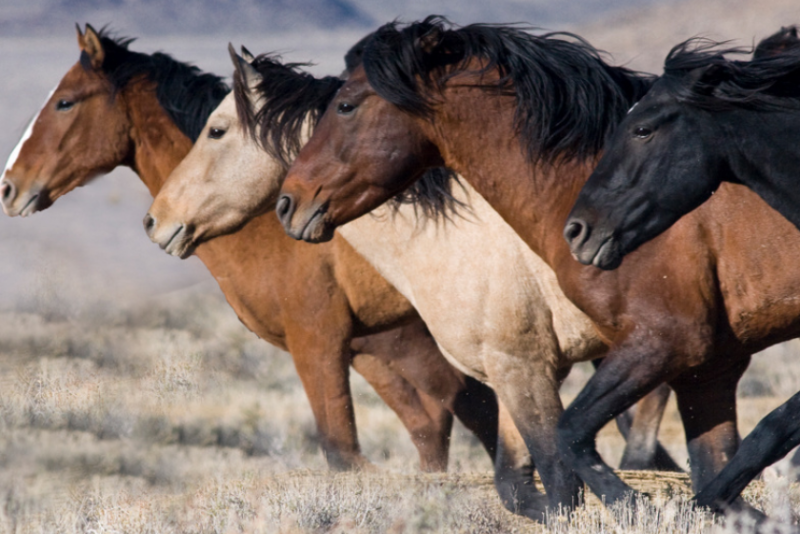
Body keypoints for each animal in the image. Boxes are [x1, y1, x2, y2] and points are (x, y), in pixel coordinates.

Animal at [0, 24, 502, 473]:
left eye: (65, 102)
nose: (8, 187)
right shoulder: (377, 344)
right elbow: (432, 429)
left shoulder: (320, 342)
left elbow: (345, 451)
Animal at [143, 45, 681, 520]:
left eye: (216, 130)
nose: (156, 221)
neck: (461, 233)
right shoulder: (514, 372)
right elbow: (520, 487)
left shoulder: (525, 365)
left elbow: (560, 480)